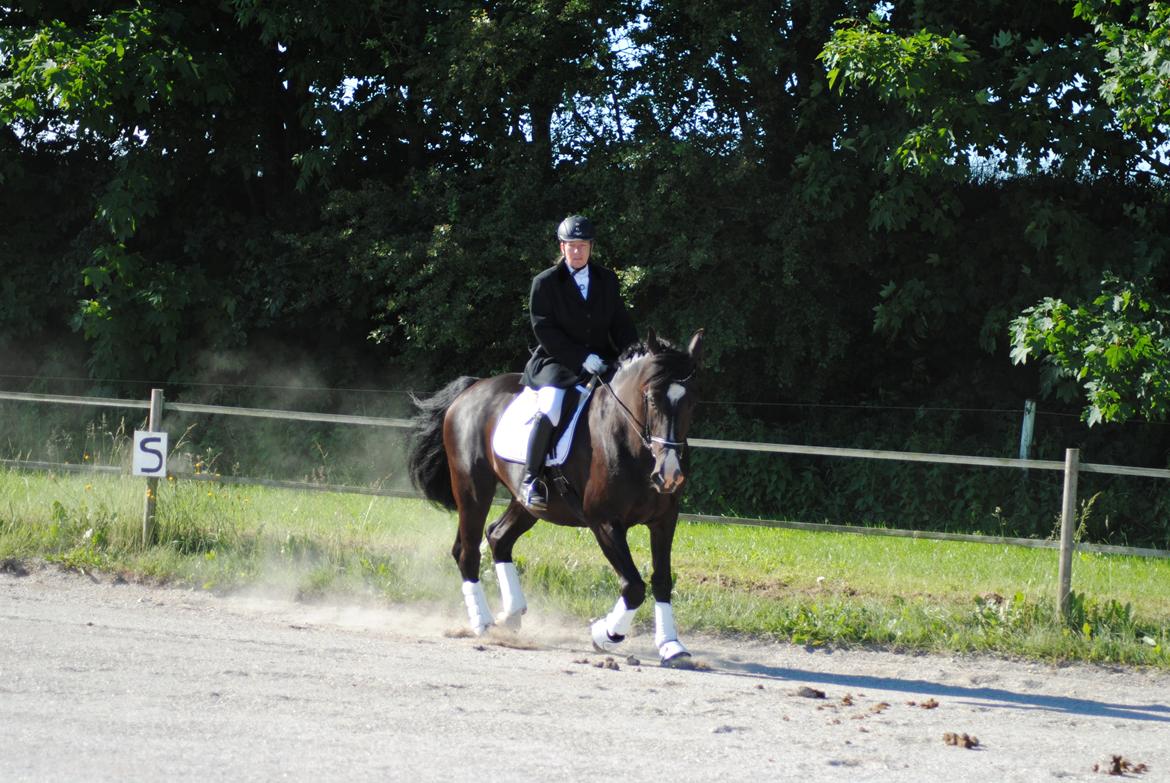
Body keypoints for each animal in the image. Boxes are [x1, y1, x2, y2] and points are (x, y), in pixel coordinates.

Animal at [411, 327, 702, 664]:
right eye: (652, 399)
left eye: (691, 402)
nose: (669, 474)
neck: (632, 444)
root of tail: (472, 389)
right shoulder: (605, 522)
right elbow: (633, 586)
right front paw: (604, 635)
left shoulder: (664, 520)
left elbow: (662, 580)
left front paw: (671, 645)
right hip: (473, 489)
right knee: (467, 551)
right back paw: (483, 623)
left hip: (529, 504)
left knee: (498, 537)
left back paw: (510, 615)